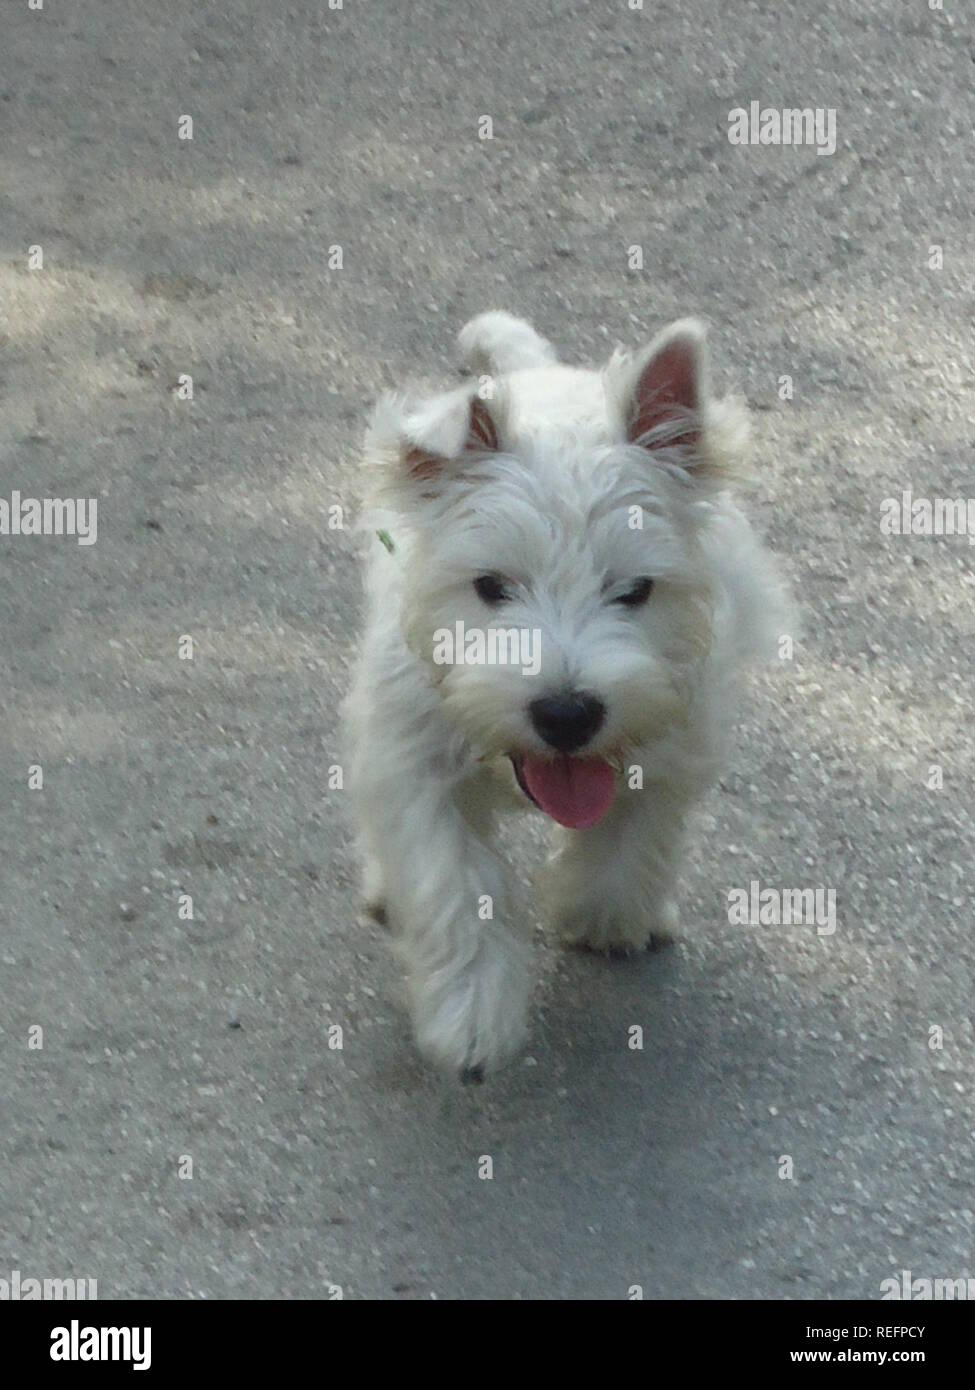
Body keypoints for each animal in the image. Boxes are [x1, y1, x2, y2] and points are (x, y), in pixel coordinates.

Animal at [346, 312, 790, 1073]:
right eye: (490, 585)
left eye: (634, 590)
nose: (566, 713)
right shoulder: (413, 756)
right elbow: (455, 882)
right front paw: (471, 1019)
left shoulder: (674, 733)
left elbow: (631, 841)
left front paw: (602, 915)